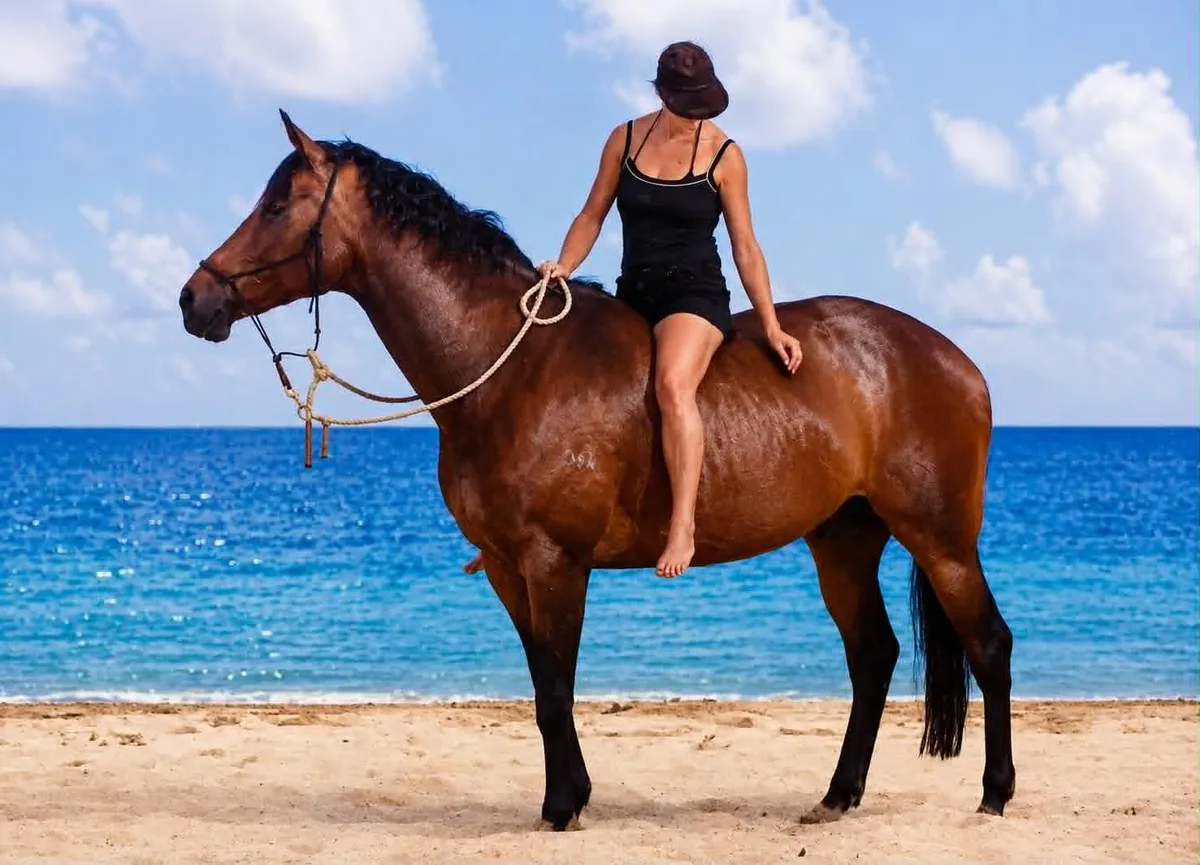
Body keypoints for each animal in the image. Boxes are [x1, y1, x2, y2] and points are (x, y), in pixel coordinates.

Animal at [178, 111, 1016, 831]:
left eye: (278, 203)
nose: (194, 298)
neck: (511, 368)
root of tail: (958, 359)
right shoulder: (508, 567)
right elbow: (543, 684)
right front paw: (571, 793)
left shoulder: (556, 562)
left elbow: (556, 688)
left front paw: (561, 806)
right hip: (842, 540)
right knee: (873, 655)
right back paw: (839, 795)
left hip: (941, 539)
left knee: (990, 645)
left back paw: (995, 791)